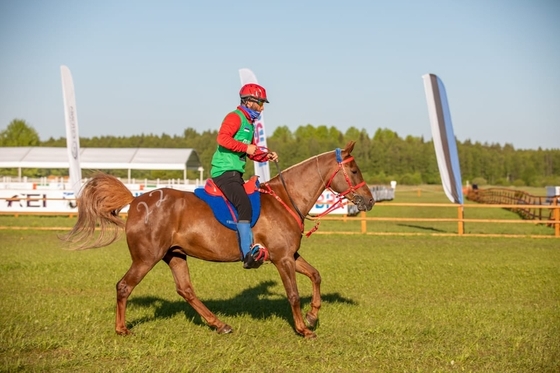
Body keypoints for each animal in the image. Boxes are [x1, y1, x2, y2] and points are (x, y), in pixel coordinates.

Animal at [63, 140, 374, 338]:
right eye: (354, 170)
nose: (370, 201)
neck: (286, 198)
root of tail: (137, 200)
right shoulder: (283, 259)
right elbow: (294, 294)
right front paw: (304, 329)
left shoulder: (289, 255)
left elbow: (316, 275)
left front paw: (312, 315)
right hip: (146, 257)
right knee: (124, 286)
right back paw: (122, 329)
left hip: (175, 255)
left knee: (186, 290)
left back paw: (219, 324)